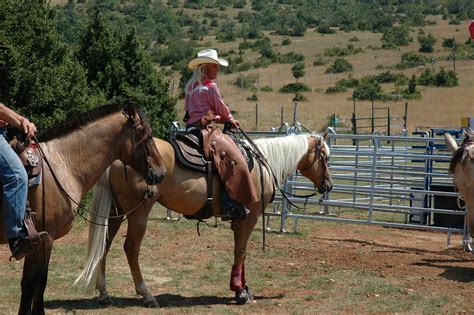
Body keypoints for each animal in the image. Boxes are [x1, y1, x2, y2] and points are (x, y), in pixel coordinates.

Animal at [0, 104, 167, 315]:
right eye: (147, 135)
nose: (161, 173)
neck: (62, 167)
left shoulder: (46, 241)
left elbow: (41, 282)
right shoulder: (41, 239)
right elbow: (30, 284)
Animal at [76, 132, 332, 308]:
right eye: (324, 157)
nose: (328, 185)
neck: (262, 164)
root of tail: (119, 158)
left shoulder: (240, 220)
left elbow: (241, 253)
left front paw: (244, 288)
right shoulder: (248, 217)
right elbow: (240, 251)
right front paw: (240, 291)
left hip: (117, 211)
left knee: (105, 244)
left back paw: (104, 292)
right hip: (139, 212)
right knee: (130, 248)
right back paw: (146, 295)